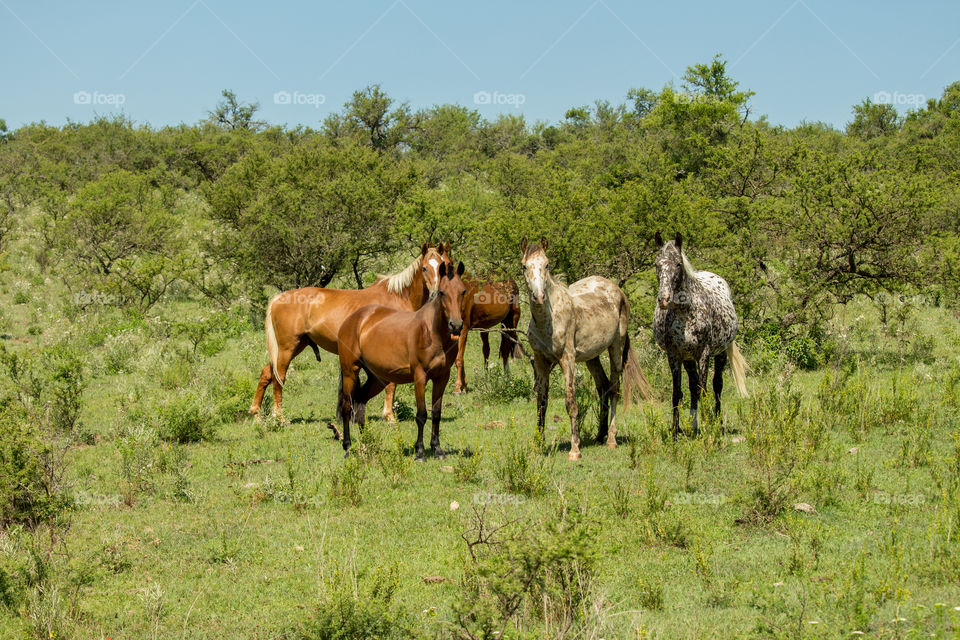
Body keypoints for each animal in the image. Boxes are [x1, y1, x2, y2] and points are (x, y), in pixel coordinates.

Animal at [251, 242, 454, 422]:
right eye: (425, 268)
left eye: (446, 265)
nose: (437, 293)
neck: (398, 297)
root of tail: (278, 297)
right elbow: (391, 384)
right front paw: (389, 416)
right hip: (287, 348)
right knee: (278, 378)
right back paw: (279, 417)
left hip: (296, 346)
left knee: (267, 374)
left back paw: (256, 413)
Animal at [338, 260, 468, 460]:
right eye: (442, 292)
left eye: (463, 291)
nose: (456, 325)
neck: (431, 332)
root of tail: (353, 319)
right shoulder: (420, 377)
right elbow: (421, 415)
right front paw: (420, 451)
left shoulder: (442, 377)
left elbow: (436, 414)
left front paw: (437, 449)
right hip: (350, 372)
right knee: (347, 406)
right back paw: (348, 447)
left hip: (377, 378)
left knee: (359, 403)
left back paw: (365, 446)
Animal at [516, 235, 652, 460]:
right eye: (524, 266)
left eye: (547, 264)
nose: (539, 297)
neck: (548, 320)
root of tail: (618, 290)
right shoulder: (541, 361)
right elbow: (541, 403)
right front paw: (537, 447)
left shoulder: (567, 359)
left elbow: (570, 402)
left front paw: (575, 450)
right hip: (592, 356)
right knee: (603, 386)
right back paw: (599, 435)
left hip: (616, 348)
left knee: (614, 389)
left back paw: (611, 440)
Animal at [652, 230, 752, 436]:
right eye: (657, 264)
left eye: (678, 263)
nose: (664, 299)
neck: (685, 313)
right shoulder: (674, 355)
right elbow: (678, 392)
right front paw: (675, 431)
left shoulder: (703, 354)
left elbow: (704, 389)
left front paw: (707, 428)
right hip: (688, 359)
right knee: (692, 386)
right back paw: (693, 424)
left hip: (720, 353)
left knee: (717, 385)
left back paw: (717, 423)